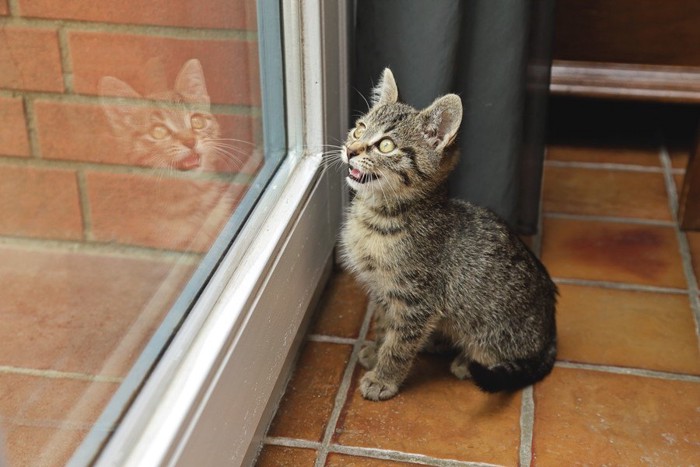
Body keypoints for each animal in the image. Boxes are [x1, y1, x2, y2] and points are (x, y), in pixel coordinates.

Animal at [340, 68, 556, 402]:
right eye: (359, 129)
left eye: (386, 145)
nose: (351, 150)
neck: (378, 217)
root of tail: (549, 336)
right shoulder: (384, 292)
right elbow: (385, 325)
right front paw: (376, 351)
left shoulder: (417, 300)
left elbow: (399, 343)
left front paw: (383, 377)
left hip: (489, 331)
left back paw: (466, 362)